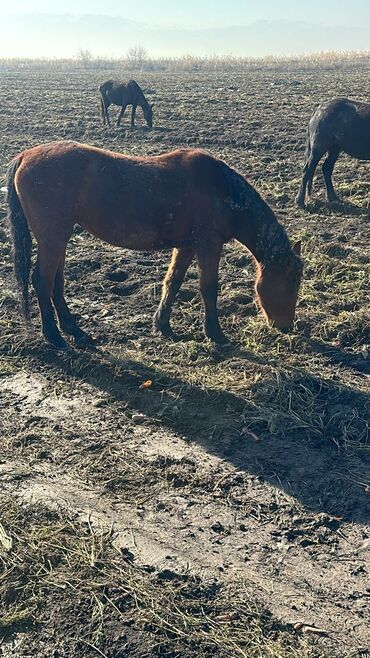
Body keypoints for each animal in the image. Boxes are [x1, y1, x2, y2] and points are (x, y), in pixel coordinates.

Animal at [7, 142, 302, 352]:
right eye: (289, 283)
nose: (286, 327)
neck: (223, 191)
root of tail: (25, 156)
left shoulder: (186, 247)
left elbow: (173, 282)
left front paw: (162, 325)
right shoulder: (208, 245)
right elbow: (208, 289)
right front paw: (215, 334)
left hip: (59, 238)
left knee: (56, 282)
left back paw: (73, 330)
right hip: (53, 237)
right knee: (42, 280)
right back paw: (53, 336)